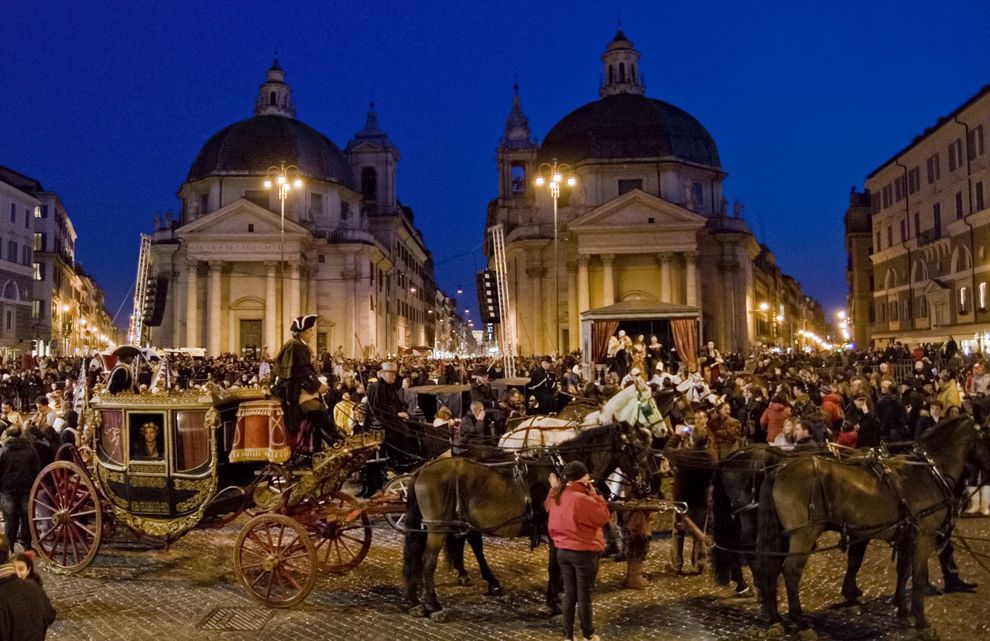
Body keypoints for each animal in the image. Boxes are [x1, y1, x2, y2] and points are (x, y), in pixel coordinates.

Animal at [400, 422, 656, 616]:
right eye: (634, 448)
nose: (646, 485)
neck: (562, 474)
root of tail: (421, 470)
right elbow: (554, 566)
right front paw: (554, 603)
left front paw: (559, 595)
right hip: (438, 528)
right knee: (428, 562)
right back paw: (434, 605)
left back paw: (421, 599)